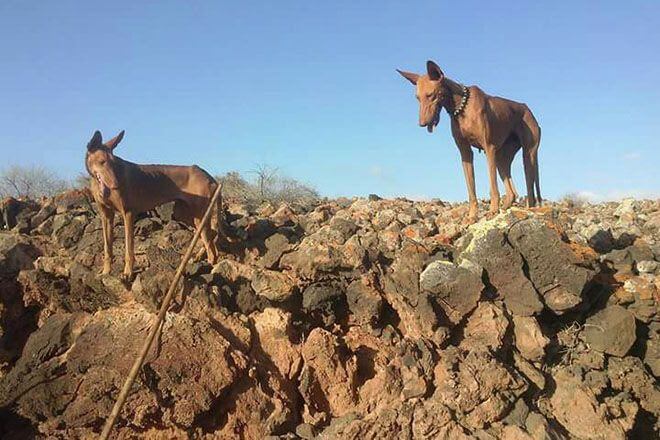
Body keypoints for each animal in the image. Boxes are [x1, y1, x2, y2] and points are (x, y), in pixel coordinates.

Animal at [85, 131, 222, 280]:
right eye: (102, 162)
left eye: (113, 162)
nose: (116, 185)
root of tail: (210, 177)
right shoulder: (106, 216)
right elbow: (107, 247)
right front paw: (105, 272)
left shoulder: (128, 213)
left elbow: (129, 248)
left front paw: (128, 273)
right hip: (183, 214)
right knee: (210, 237)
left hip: (199, 215)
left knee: (210, 242)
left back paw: (210, 267)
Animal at [398, 60, 540, 222]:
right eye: (417, 98)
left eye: (431, 95)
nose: (422, 123)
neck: (461, 107)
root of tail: (528, 109)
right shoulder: (465, 153)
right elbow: (471, 190)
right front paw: (472, 216)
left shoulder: (489, 148)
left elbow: (493, 187)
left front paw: (493, 210)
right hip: (501, 158)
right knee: (511, 193)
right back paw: (505, 209)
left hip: (528, 156)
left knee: (530, 189)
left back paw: (527, 209)